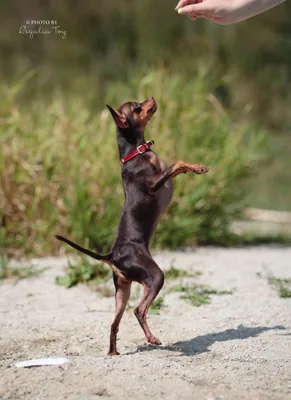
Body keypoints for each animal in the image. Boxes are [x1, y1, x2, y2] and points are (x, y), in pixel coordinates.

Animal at [54, 97, 210, 356]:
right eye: (136, 106)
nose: (152, 98)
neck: (136, 154)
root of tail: (112, 256)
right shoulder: (154, 184)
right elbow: (176, 165)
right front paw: (197, 167)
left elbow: (175, 166)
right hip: (155, 276)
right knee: (139, 310)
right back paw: (152, 339)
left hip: (122, 291)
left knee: (114, 323)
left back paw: (113, 352)